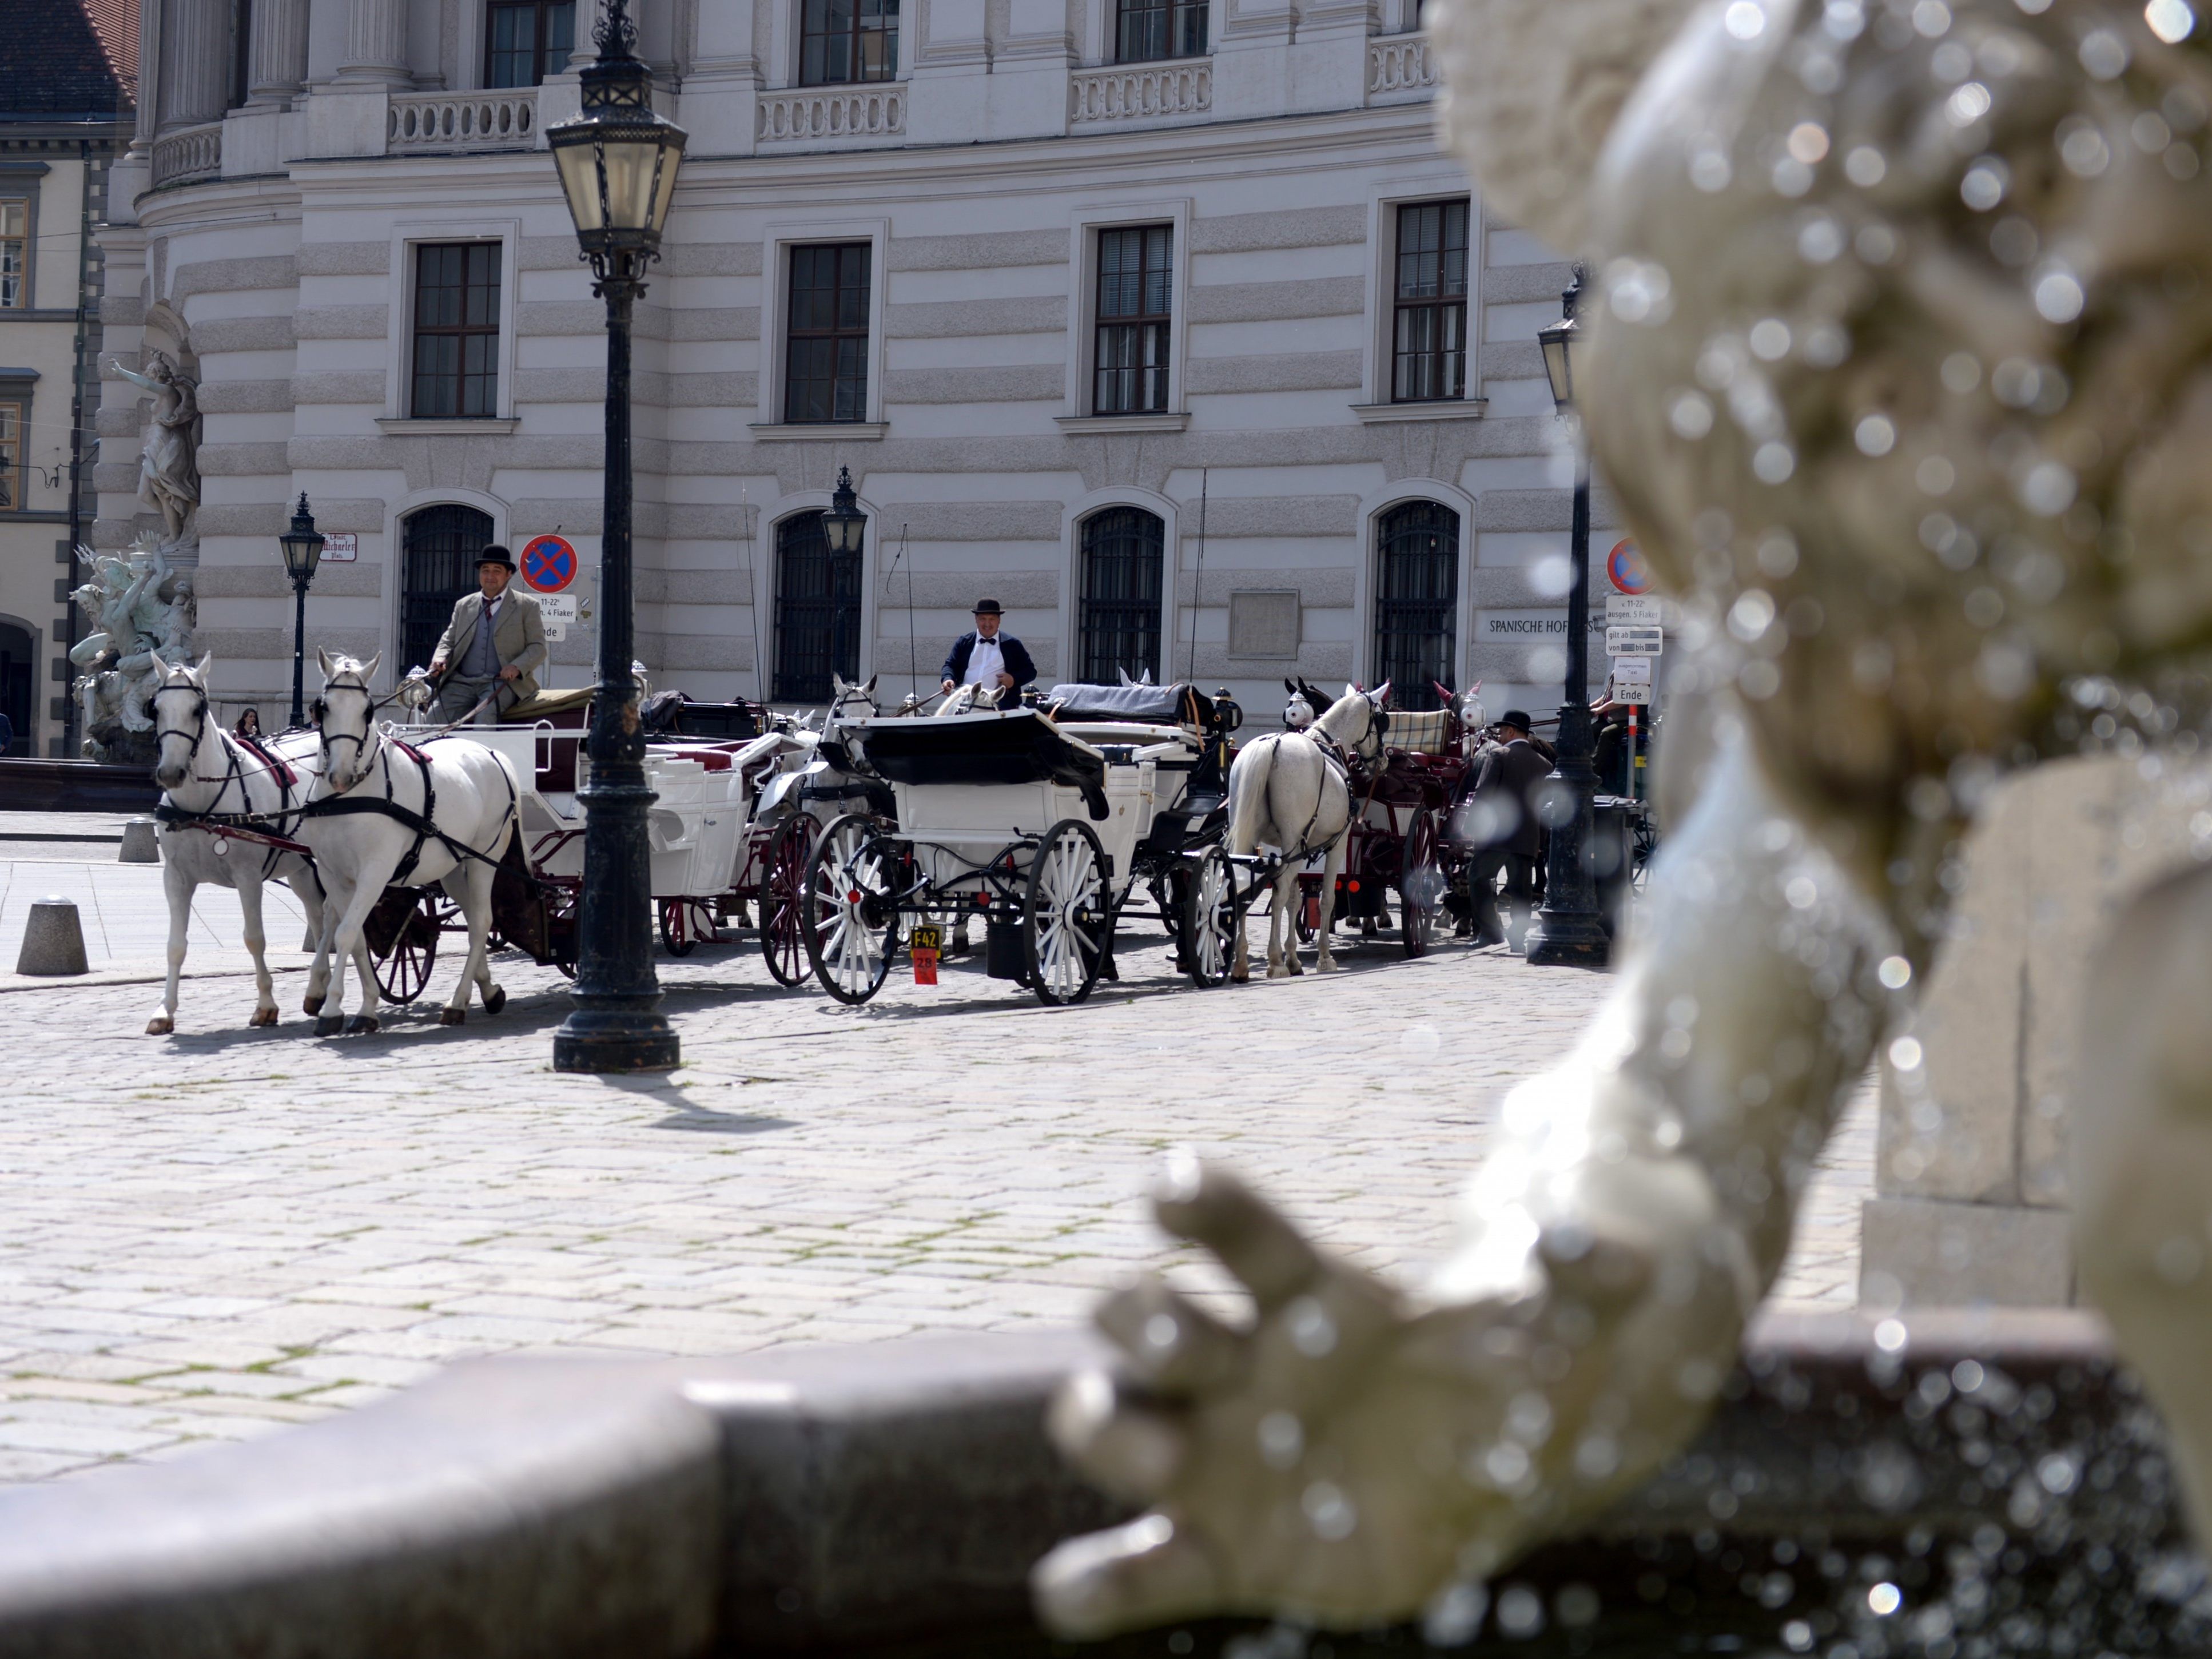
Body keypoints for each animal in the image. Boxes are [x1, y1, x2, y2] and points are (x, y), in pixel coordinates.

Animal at [145, 654, 327, 1035]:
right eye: (156, 709)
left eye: (198, 709)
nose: (170, 773)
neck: (202, 805)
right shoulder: (176, 878)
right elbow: (175, 945)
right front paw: (165, 1010)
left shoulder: (249, 878)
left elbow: (254, 938)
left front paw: (266, 1006)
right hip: (302, 867)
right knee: (319, 916)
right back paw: (319, 989)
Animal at [299, 654, 522, 1035]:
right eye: (321, 707)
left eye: (368, 711)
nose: (340, 776)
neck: (350, 797)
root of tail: (493, 752)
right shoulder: (333, 875)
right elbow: (354, 937)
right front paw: (366, 1006)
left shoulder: (374, 873)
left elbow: (345, 933)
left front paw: (332, 1009)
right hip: (452, 867)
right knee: (473, 918)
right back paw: (487, 988)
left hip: (484, 858)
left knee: (481, 923)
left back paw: (458, 1002)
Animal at [1221, 681, 1389, 982]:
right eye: (1382, 718)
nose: (1382, 761)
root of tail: (1273, 745)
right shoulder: (1336, 844)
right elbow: (1325, 900)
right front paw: (1323, 957)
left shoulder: (1296, 846)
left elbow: (1295, 900)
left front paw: (1294, 958)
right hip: (1292, 841)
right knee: (1276, 894)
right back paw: (1274, 961)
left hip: (1253, 835)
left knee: (1242, 883)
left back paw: (1241, 963)